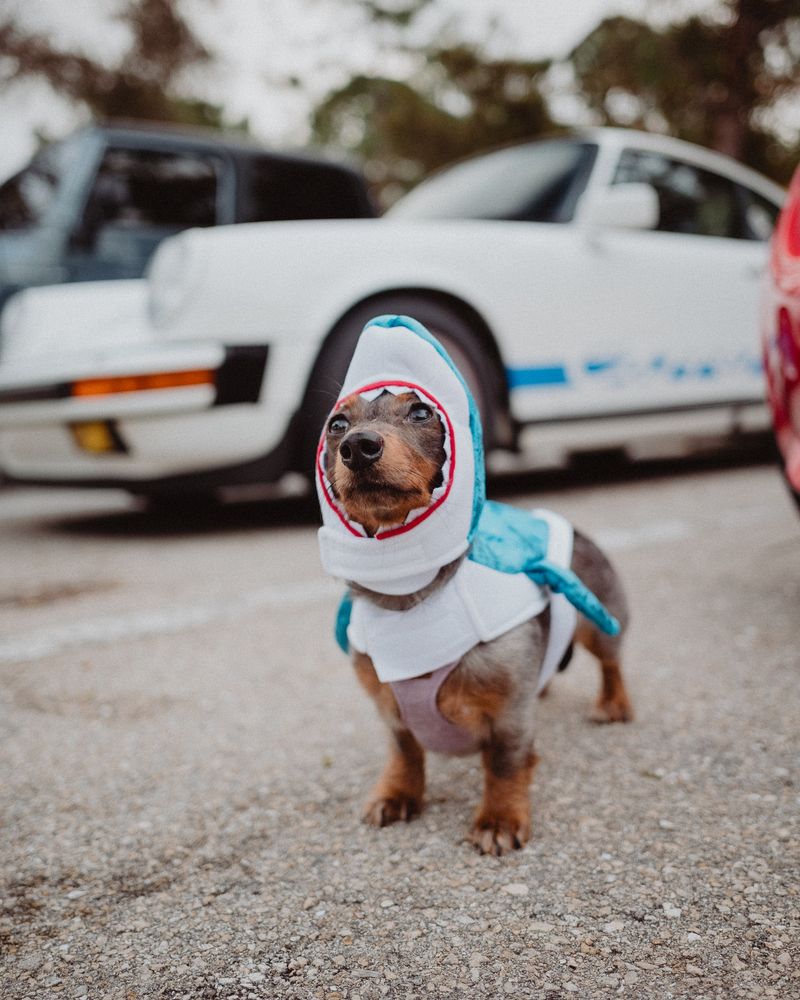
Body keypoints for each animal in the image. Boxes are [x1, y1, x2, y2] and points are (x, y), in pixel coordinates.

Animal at [314, 316, 632, 856]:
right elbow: (405, 752)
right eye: (337, 425)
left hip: (599, 621)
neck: (410, 599)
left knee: (611, 661)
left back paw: (613, 704)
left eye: (421, 411)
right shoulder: (391, 711)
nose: (359, 446)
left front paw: (499, 819)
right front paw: (396, 794)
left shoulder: (509, 719)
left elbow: (504, 763)